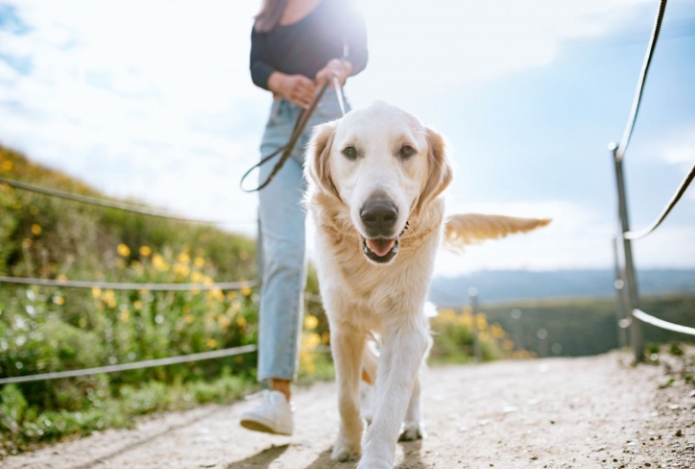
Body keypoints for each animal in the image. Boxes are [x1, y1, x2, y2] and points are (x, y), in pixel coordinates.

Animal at [304, 100, 548, 466]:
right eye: (349, 151)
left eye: (406, 150)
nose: (378, 215)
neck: (370, 266)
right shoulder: (343, 327)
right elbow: (345, 397)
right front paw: (347, 444)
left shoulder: (407, 328)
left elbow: (392, 399)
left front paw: (375, 457)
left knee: (412, 385)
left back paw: (412, 424)